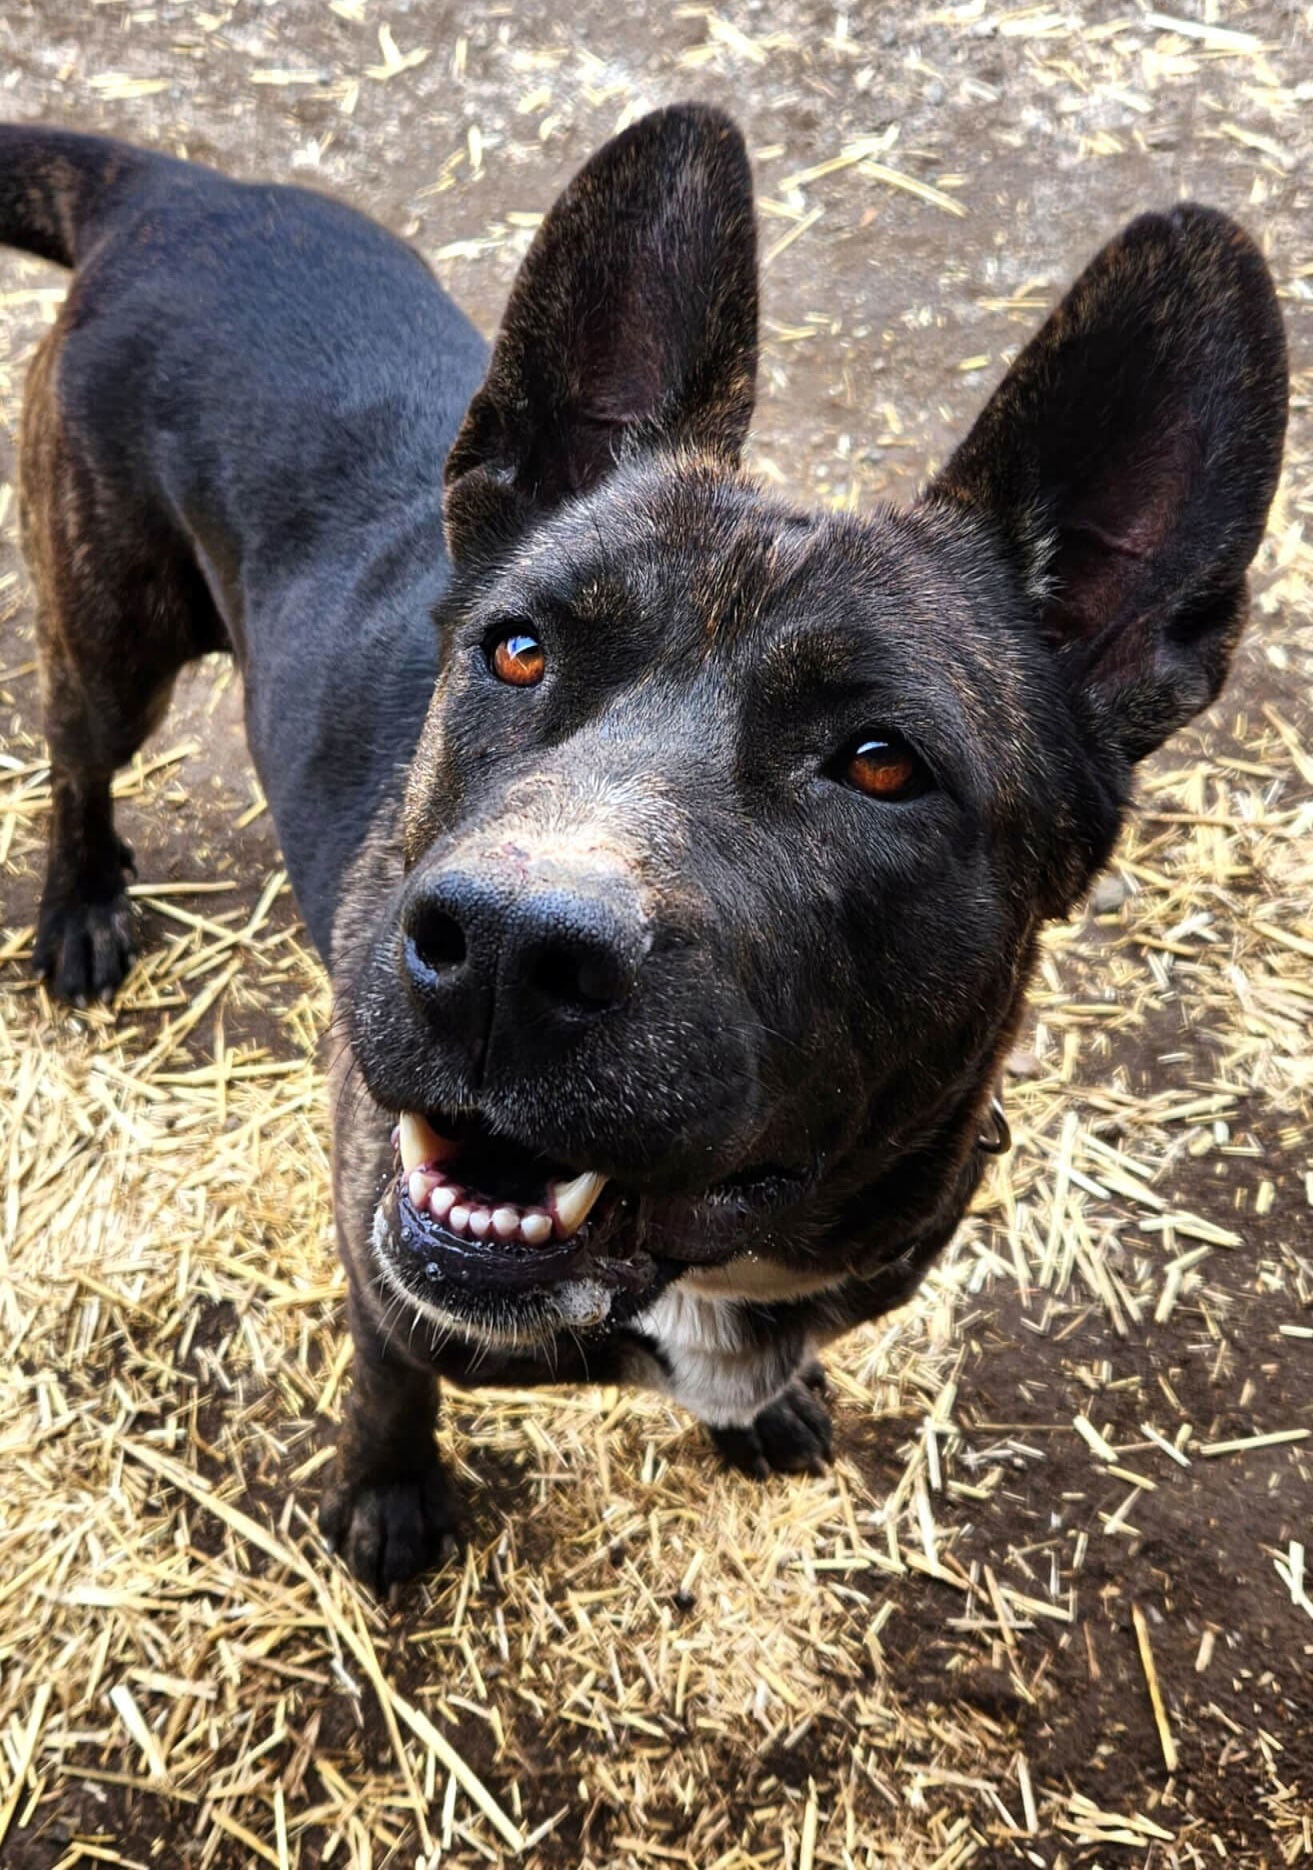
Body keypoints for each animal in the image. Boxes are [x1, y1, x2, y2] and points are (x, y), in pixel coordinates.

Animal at [0, 106, 1294, 1593]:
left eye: (881, 763)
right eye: (516, 649)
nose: (502, 953)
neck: (716, 1266)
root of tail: (174, 189)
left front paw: (760, 1410)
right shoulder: (378, 1247)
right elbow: (390, 1376)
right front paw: (389, 1495)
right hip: (113, 635)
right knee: (79, 757)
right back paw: (80, 908)